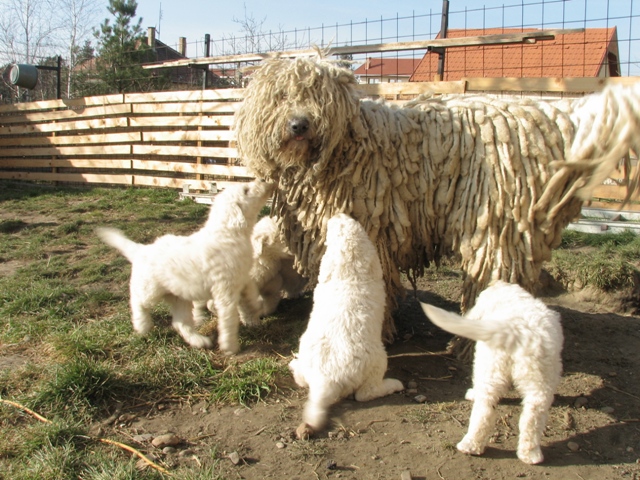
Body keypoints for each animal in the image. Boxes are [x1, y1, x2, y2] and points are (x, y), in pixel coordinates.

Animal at [96, 178, 272, 354]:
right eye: (246, 190)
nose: (264, 180)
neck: (229, 233)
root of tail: (141, 250)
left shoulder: (242, 278)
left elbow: (251, 290)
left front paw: (257, 305)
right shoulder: (225, 291)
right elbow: (229, 319)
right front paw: (230, 347)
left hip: (179, 297)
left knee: (180, 323)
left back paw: (199, 341)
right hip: (149, 290)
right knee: (138, 303)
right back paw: (142, 326)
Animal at [288, 214, 402, 438]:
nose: (338, 215)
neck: (349, 271)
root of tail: (325, 380)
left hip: (305, 349)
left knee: (302, 379)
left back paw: (294, 365)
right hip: (377, 361)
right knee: (365, 393)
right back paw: (394, 385)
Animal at [420, 282, 564, 464]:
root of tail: (518, 331)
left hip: (490, 367)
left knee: (484, 410)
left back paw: (470, 445)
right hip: (538, 381)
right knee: (532, 417)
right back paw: (530, 455)